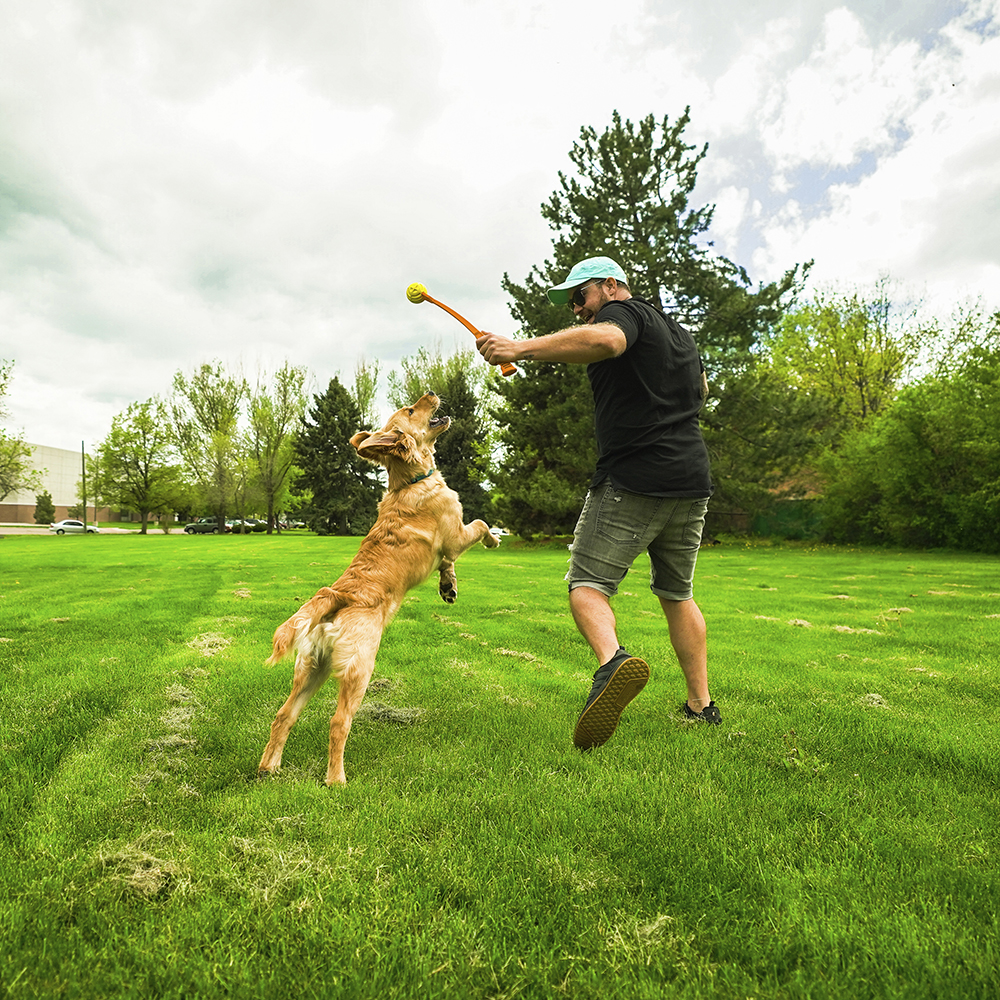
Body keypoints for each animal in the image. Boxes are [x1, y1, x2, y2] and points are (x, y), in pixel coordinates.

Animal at [258, 394, 500, 784]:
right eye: (412, 410)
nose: (431, 393)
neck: (410, 481)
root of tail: (337, 595)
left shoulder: (449, 544)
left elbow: (447, 562)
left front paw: (448, 585)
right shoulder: (455, 532)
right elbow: (478, 523)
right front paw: (493, 539)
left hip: (311, 668)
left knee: (283, 715)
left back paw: (270, 767)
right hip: (359, 668)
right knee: (338, 723)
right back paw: (336, 780)